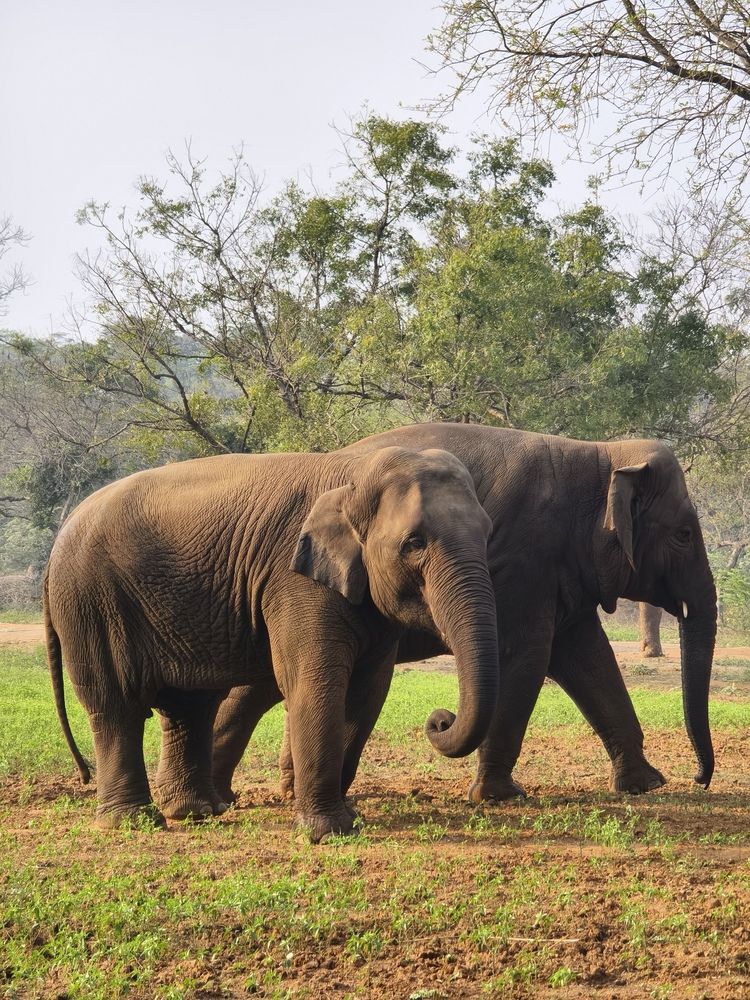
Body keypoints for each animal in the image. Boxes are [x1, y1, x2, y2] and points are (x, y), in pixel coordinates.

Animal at [46, 445, 499, 840]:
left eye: (487, 533)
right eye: (413, 544)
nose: (440, 718)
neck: (354, 474)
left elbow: (367, 694)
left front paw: (349, 818)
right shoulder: (293, 580)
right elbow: (315, 683)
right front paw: (327, 833)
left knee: (189, 705)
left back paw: (197, 812)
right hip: (91, 604)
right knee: (115, 705)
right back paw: (134, 822)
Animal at [207, 423, 716, 807]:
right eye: (685, 535)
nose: (699, 778)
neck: (599, 453)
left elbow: (588, 659)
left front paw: (646, 785)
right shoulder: (526, 561)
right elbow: (529, 658)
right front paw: (497, 796)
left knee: (267, 682)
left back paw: (250, 793)